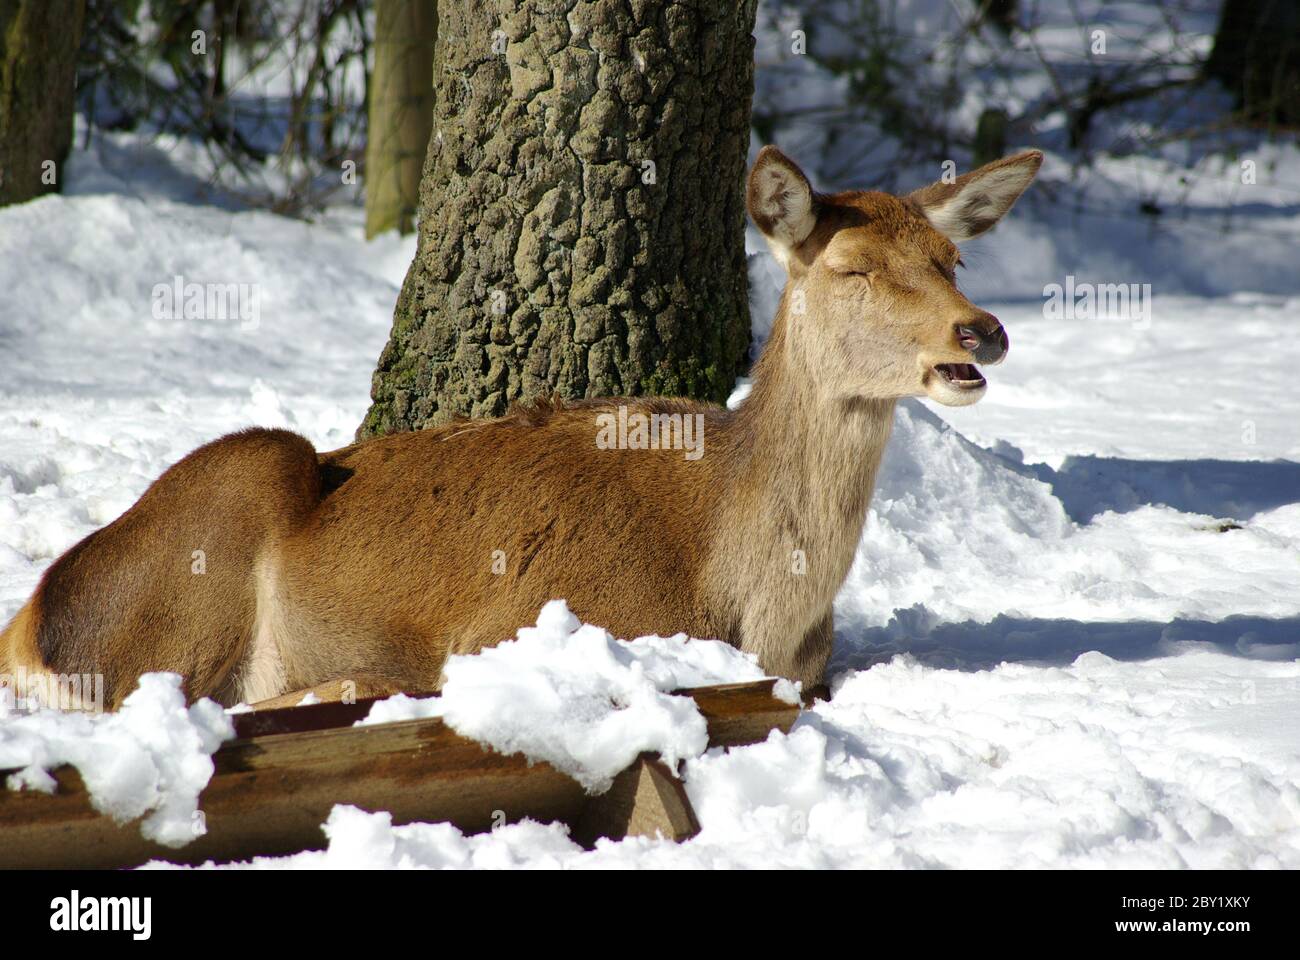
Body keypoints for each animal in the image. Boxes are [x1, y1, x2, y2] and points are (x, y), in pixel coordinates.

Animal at [0, 145, 1034, 707]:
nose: (979, 331)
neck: (746, 599)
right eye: (852, 268)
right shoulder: (520, 622)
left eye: (952, 261)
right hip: (205, 542)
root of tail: (30, 621)